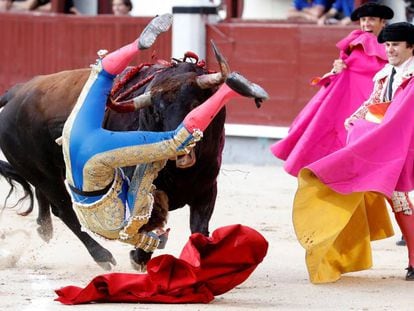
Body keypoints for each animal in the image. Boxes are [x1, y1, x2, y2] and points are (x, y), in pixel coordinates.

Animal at [0, 58, 226, 270]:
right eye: (156, 113)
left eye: (195, 105)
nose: (183, 150)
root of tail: (17, 92)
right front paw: (139, 257)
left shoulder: (207, 190)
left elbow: (199, 229)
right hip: (43, 175)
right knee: (65, 210)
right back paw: (102, 256)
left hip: (44, 172)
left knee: (46, 199)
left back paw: (44, 228)